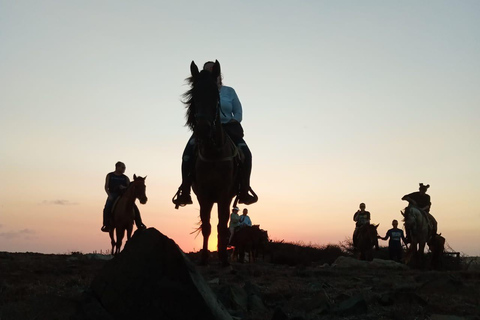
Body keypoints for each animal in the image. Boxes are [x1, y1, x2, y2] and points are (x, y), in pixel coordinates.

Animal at [184, 61, 238, 266]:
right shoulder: (203, 194)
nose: (202, 129)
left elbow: (222, 226)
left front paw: (223, 258)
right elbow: (206, 226)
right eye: (194, 95)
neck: (214, 153)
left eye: (216, 95)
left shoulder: (224, 194)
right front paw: (204, 257)